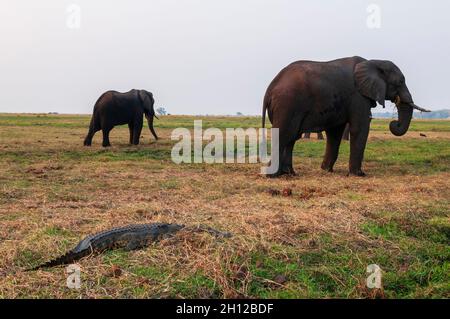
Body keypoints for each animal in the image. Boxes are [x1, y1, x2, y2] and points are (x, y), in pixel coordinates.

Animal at [262, 57, 430, 178]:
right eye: (400, 82)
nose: (393, 123)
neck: (374, 62)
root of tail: (270, 88)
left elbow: (335, 133)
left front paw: (326, 170)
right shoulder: (358, 96)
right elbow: (360, 128)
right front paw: (359, 175)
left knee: (292, 137)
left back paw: (289, 173)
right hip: (288, 103)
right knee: (284, 134)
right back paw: (272, 175)